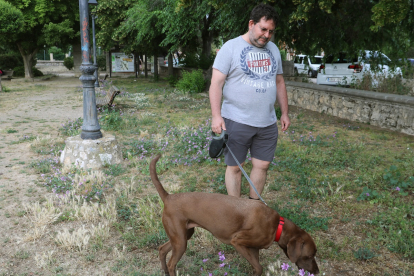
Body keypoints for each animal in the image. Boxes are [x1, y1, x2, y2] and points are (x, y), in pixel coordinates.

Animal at [150, 154, 318, 274]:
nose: (316, 271)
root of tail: (168, 197)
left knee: (162, 249)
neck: (277, 225)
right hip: (181, 241)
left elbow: (257, 267)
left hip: (183, 236)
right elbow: (259, 267)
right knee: (172, 263)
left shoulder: (253, 248)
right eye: (309, 256)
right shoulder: (237, 241)